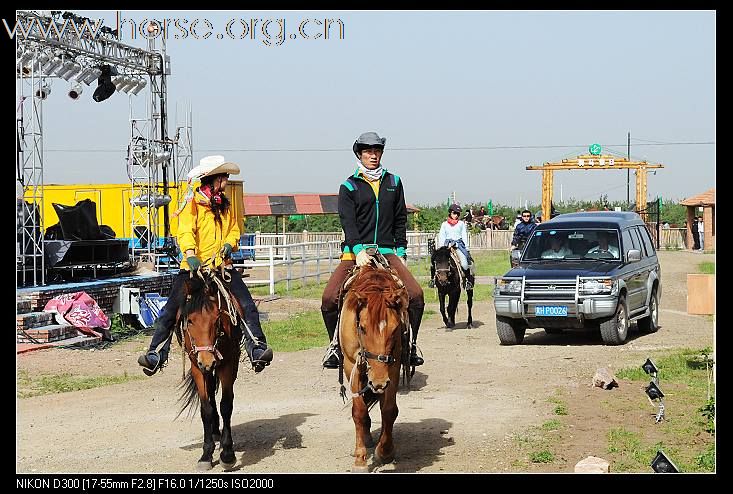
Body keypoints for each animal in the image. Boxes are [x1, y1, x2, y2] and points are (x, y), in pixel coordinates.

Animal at [175, 270, 242, 470]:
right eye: (190, 321)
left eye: (217, 319)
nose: (207, 361)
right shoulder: (197, 367)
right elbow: (206, 409)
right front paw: (206, 454)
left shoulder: (228, 363)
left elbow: (226, 405)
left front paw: (227, 454)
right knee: (211, 393)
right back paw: (213, 430)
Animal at [338, 264, 412, 472]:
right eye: (362, 328)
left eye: (394, 329)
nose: (378, 382)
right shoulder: (351, 366)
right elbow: (359, 412)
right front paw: (360, 459)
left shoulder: (392, 367)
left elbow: (388, 410)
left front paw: (385, 451)